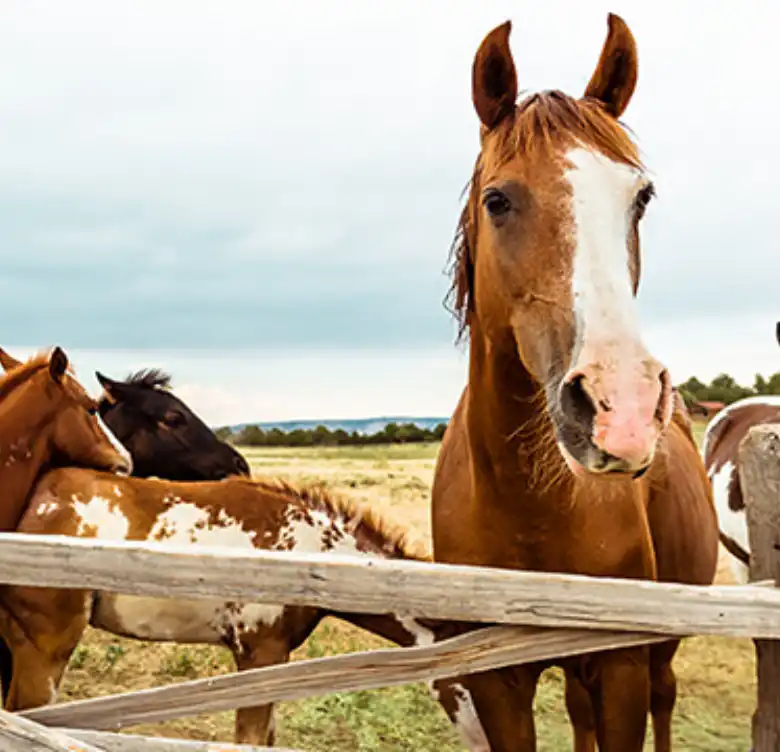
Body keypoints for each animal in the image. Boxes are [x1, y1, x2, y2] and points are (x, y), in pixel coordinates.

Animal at [429, 14, 717, 752]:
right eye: (497, 200)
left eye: (640, 198)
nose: (624, 409)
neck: (532, 503)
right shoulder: (497, 675)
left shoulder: (619, 667)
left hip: (659, 649)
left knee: (665, 695)